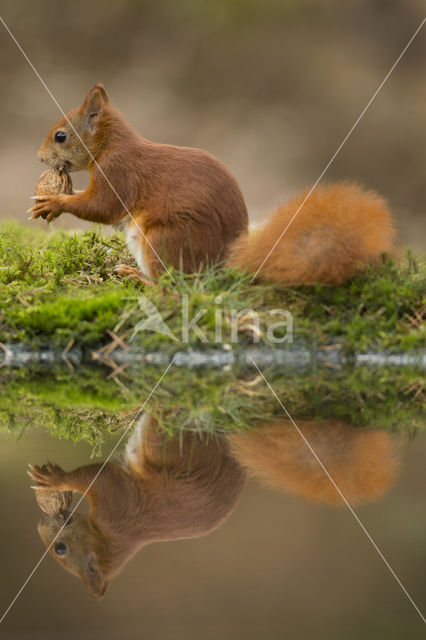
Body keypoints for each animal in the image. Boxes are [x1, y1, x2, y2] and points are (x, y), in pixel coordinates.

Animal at [30, 84, 396, 284]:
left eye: (61, 136)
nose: (38, 157)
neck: (110, 145)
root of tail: (224, 264)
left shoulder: (119, 172)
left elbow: (103, 208)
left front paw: (55, 202)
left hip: (167, 239)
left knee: (175, 291)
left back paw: (140, 279)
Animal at [30, 412, 400, 596]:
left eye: (60, 550)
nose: (39, 529)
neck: (110, 544)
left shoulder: (116, 504)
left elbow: (94, 476)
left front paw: (54, 480)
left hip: (170, 440)